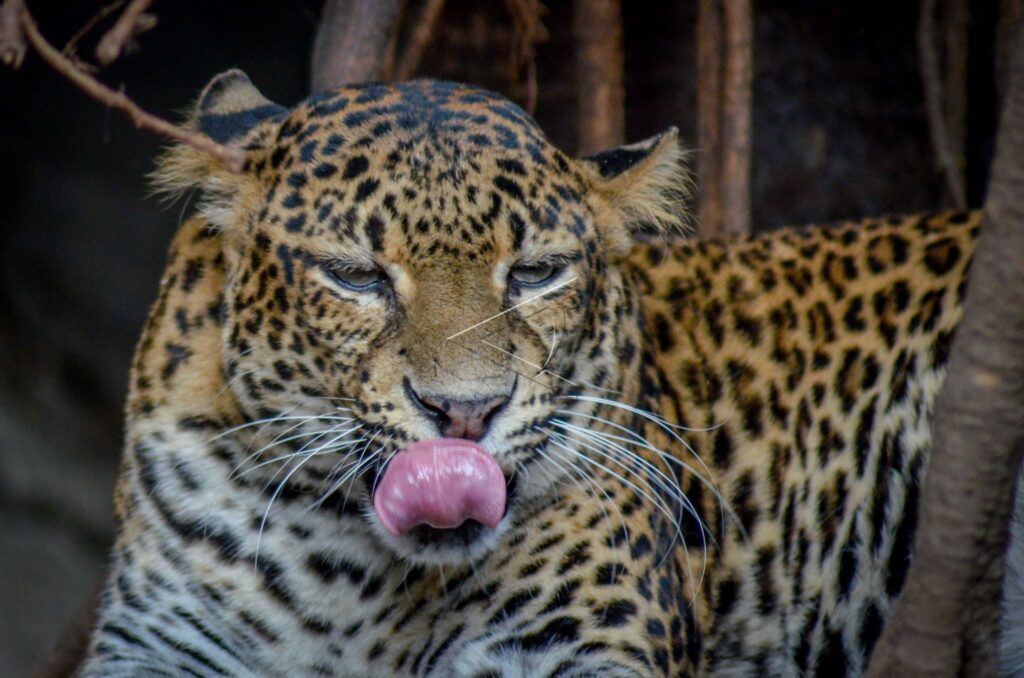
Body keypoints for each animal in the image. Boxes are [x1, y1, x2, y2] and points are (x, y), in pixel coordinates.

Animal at [79, 70, 1024, 676]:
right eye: (356, 276)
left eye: (536, 274)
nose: (465, 414)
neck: (360, 579)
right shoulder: (158, 641)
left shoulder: (583, 642)